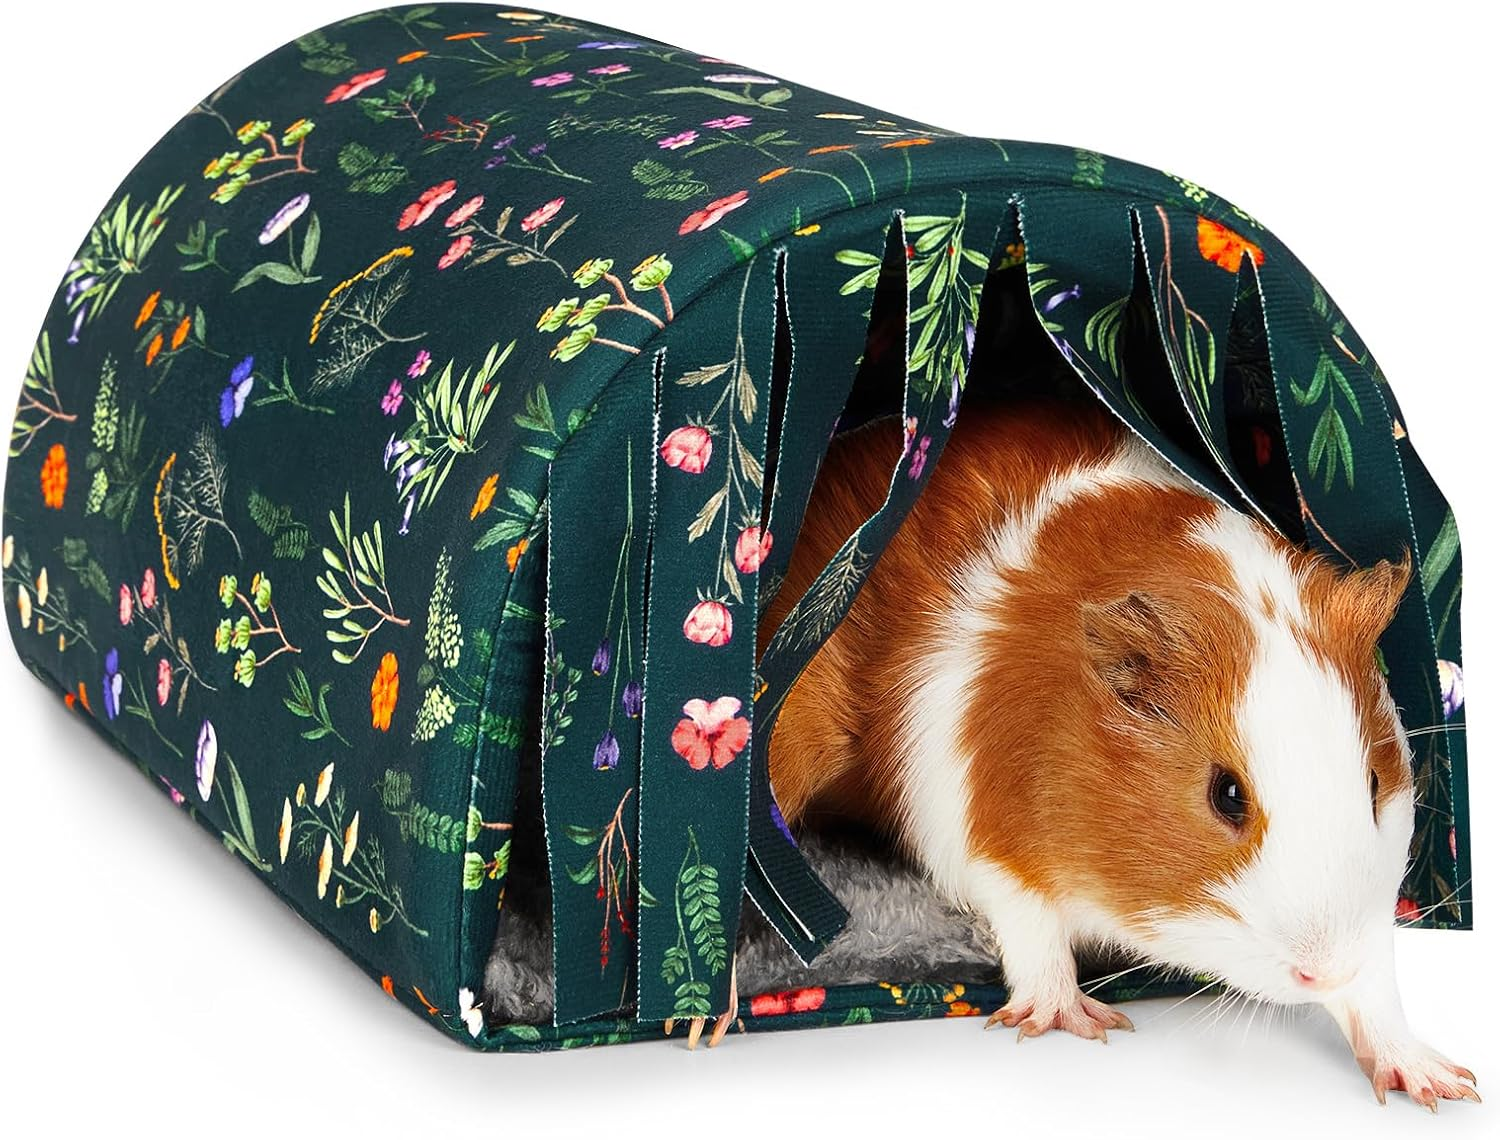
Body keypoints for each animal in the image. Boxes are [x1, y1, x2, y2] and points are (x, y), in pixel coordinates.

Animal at [763, 398, 1477, 1110]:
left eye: (1375, 784)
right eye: (1227, 794)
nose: (1321, 970)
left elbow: (1375, 989)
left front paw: (1439, 1084)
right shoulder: (984, 836)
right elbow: (1032, 928)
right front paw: (1076, 1021)